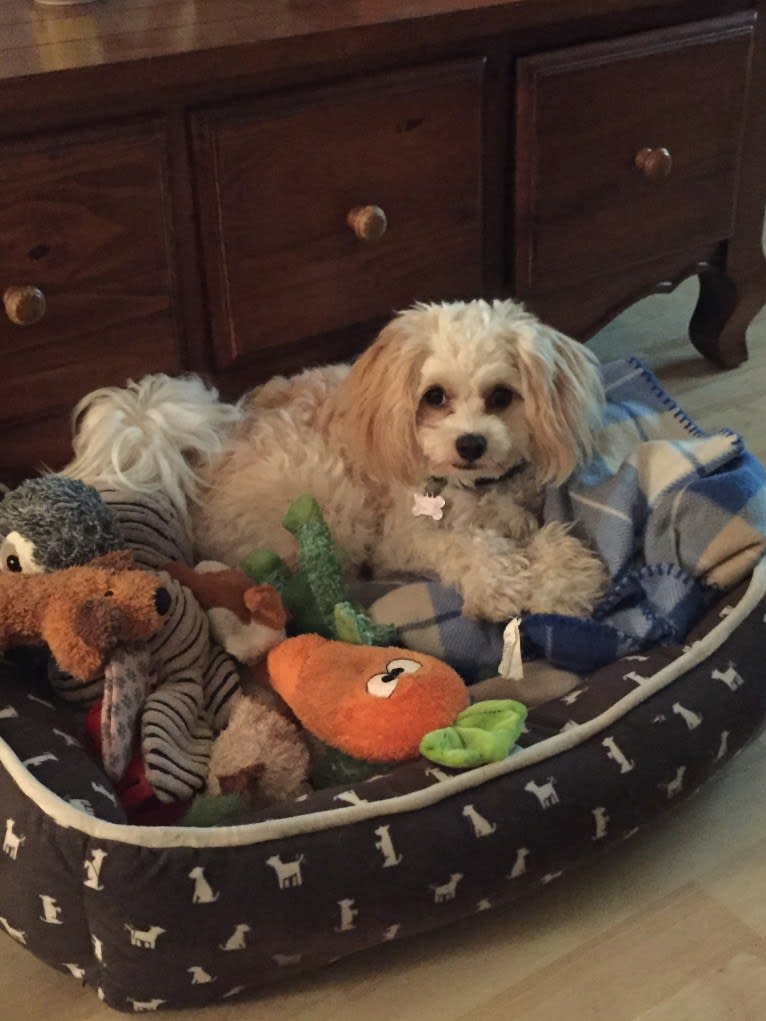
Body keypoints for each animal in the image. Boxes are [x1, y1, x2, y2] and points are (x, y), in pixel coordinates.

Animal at [64, 298, 604, 620]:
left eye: (501, 396)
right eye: (434, 397)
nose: (470, 444)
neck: (476, 491)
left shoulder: (523, 508)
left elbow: (547, 536)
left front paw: (565, 580)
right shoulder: (403, 538)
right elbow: (465, 545)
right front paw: (502, 584)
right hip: (332, 500)